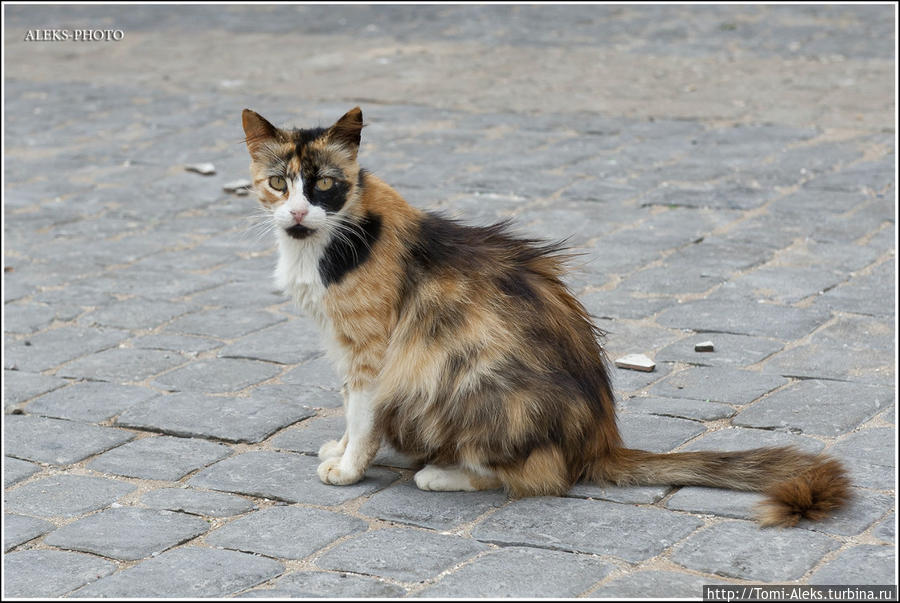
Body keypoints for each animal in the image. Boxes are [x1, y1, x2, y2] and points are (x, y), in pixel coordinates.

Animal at [241, 106, 852, 528]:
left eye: (324, 184)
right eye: (279, 182)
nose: (297, 211)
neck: (329, 239)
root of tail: (600, 442)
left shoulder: (372, 353)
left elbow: (364, 416)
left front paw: (349, 469)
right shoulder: (345, 350)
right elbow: (350, 412)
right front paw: (342, 449)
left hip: (466, 377)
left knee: (538, 477)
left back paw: (441, 473)